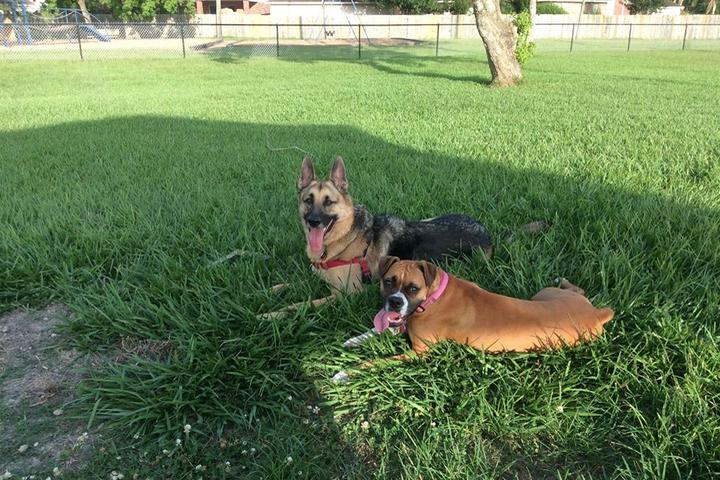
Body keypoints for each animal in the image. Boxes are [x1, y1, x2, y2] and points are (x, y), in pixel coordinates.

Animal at [376, 256, 612, 354]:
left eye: (413, 288)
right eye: (388, 281)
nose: (395, 301)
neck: (435, 296)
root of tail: (596, 313)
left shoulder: (419, 352)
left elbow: (380, 362)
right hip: (550, 294)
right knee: (579, 290)